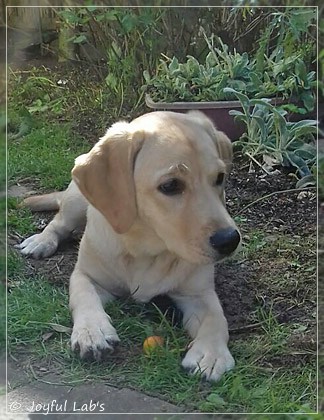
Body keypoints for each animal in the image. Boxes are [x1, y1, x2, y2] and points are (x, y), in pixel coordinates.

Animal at [17, 110, 240, 382]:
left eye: (220, 178)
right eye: (170, 185)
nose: (229, 240)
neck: (147, 251)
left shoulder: (199, 293)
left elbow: (216, 318)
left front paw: (211, 353)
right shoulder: (86, 275)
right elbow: (83, 297)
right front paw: (92, 331)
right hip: (75, 202)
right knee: (58, 222)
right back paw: (41, 241)